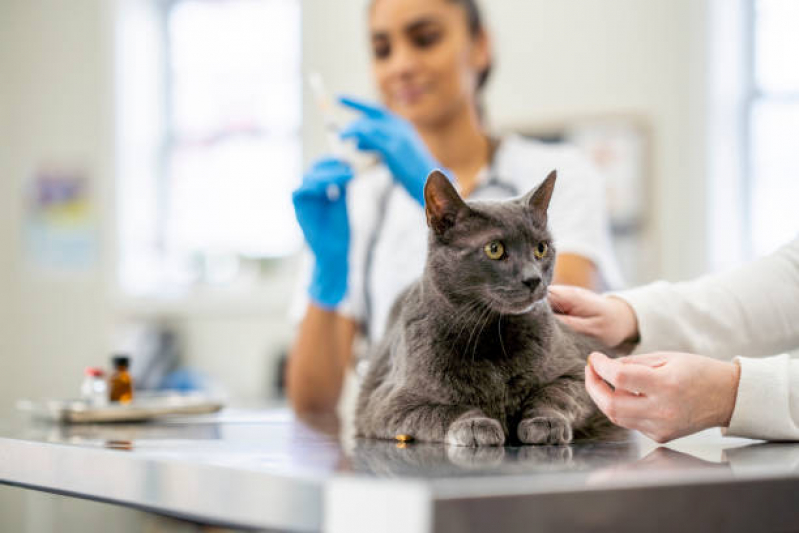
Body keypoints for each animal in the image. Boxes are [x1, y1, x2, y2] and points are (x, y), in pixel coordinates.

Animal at [358, 169, 620, 444]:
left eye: (541, 248)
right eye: (494, 249)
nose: (533, 278)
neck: (493, 334)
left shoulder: (578, 371)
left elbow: (555, 393)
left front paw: (545, 421)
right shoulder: (386, 404)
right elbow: (445, 409)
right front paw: (475, 424)